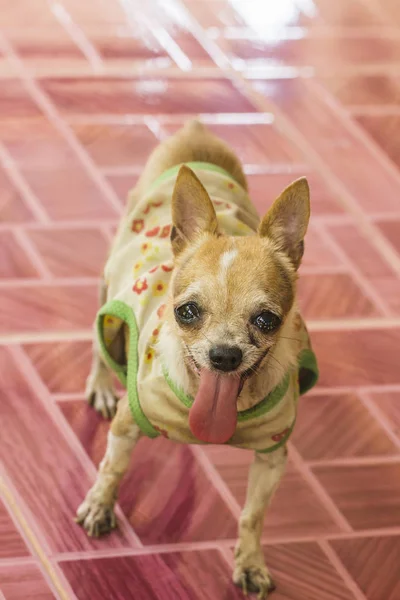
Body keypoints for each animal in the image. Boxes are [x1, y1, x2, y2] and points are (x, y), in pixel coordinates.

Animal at [76, 119, 318, 596]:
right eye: (187, 312)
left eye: (266, 320)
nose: (224, 355)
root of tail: (196, 131)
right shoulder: (129, 423)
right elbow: (112, 467)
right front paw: (99, 505)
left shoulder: (272, 457)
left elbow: (253, 515)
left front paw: (250, 563)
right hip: (109, 290)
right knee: (100, 343)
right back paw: (100, 385)